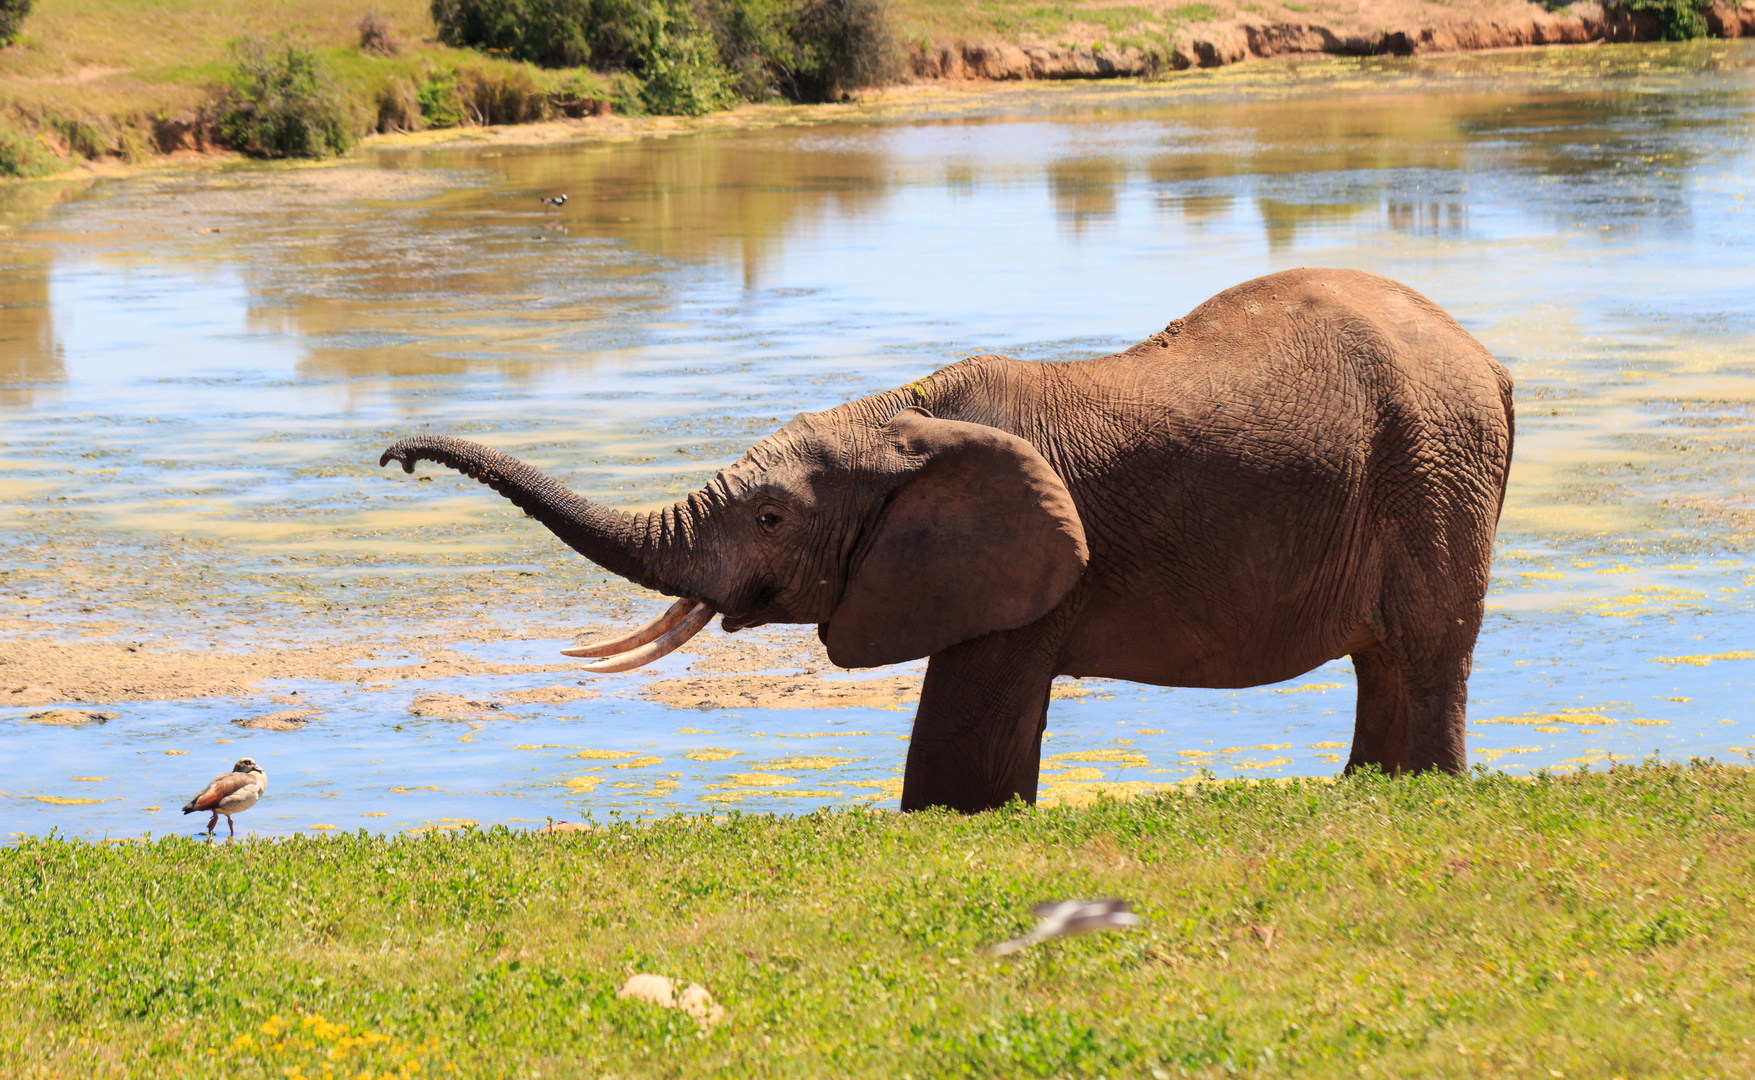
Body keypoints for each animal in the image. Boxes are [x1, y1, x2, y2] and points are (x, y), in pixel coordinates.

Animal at [380, 268, 1509, 811]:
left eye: (770, 518)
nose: (395, 460)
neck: (901, 413)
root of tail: (1487, 361)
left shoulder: (1027, 573)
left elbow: (963, 740)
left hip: (1434, 470)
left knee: (1422, 653)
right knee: (1387, 662)